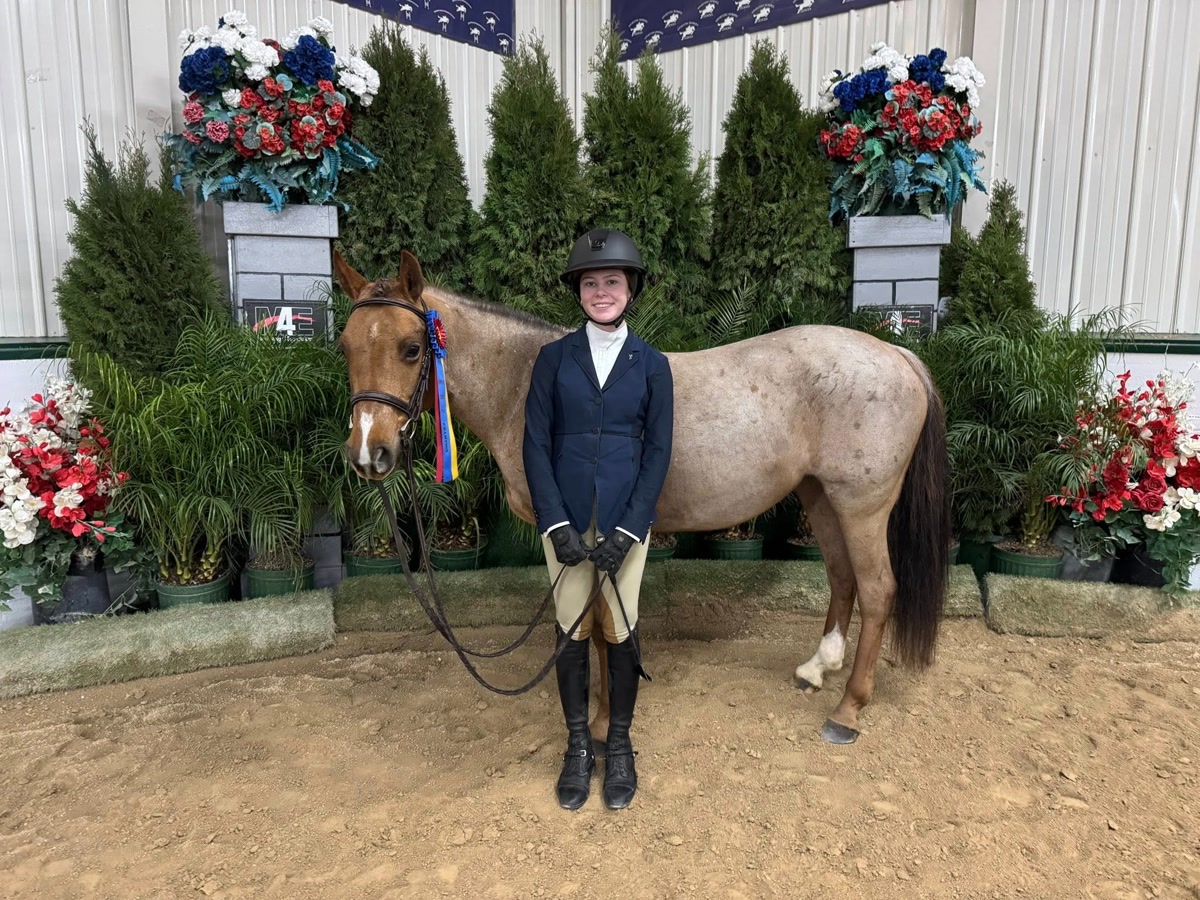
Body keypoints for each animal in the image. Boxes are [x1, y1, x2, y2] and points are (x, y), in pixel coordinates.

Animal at [334, 249, 951, 745]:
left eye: (412, 348)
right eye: (344, 347)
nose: (368, 454)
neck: (525, 382)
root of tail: (896, 354)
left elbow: (600, 622)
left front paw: (602, 721)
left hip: (862, 505)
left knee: (878, 589)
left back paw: (848, 709)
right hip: (820, 497)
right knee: (843, 577)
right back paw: (816, 669)